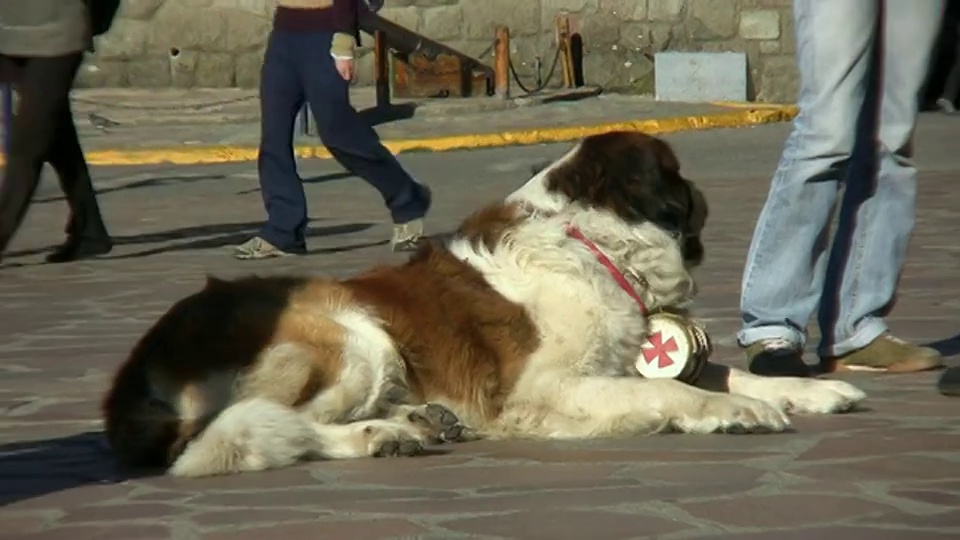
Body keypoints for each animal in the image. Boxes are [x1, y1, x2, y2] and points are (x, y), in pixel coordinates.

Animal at [101, 131, 868, 476]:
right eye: (676, 177)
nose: (701, 193)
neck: (590, 248)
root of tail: (133, 370)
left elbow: (725, 372)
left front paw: (813, 389)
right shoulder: (544, 388)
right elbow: (677, 393)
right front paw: (733, 412)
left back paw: (421, 421)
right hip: (351, 335)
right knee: (238, 437)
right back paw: (382, 435)